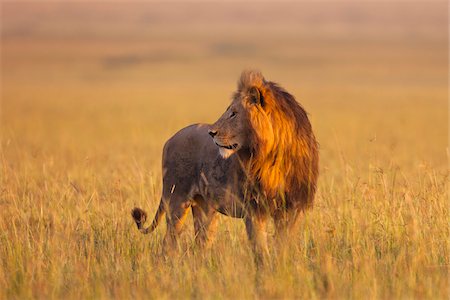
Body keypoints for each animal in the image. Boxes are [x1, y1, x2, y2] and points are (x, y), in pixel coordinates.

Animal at [132, 70, 318, 262]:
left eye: (234, 113)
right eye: (228, 111)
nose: (211, 132)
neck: (273, 157)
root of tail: (169, 140)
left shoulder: (293, 208)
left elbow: (284, 245)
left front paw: (283, 263)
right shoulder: (254, 208)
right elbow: (260, 248)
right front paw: (265, 266)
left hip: (206, 209)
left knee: (201, 243)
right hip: (176, 200)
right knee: (168, 243)